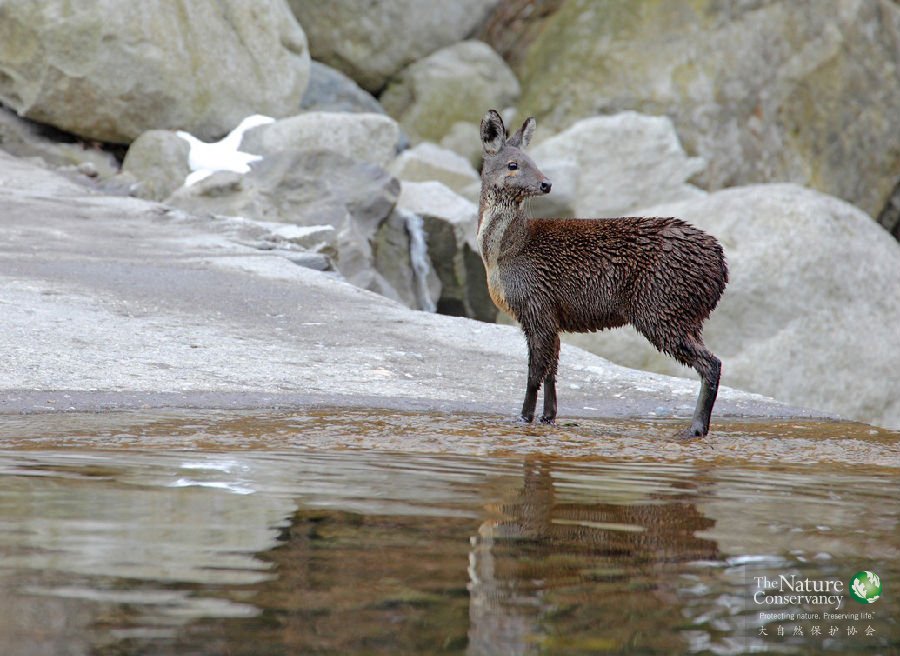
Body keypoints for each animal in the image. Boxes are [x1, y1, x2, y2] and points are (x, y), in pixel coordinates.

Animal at [474, 110, 728, 438]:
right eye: (513, 165)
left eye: (533, 161)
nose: (546, 184)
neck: (505, 253)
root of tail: (721, 267)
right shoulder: (551, 315)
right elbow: (552, 372)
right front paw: (548, 418)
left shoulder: (536, 302)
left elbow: (534, 373)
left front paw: (523, 418)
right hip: (686, 312)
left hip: (662, 305)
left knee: (712, 364)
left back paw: (695, 428)